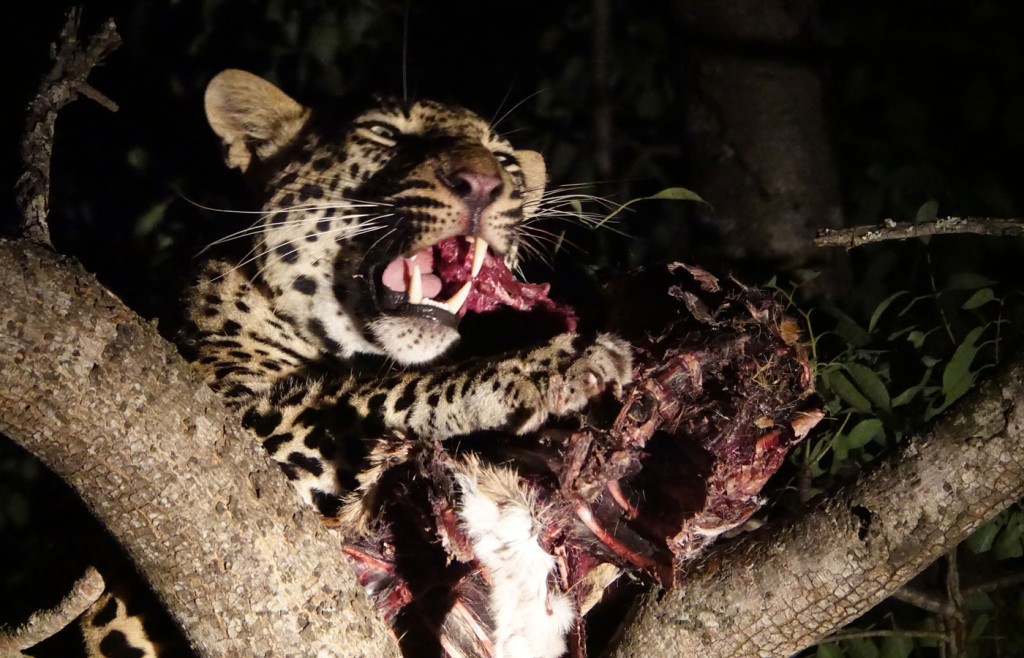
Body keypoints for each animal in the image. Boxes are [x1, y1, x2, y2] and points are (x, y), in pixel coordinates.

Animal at [75, 68, 626, 658]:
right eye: (385, 134)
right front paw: (544, 365)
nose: (482, 183)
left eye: (502, 158)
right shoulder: (232, 428)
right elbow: (374, 392)